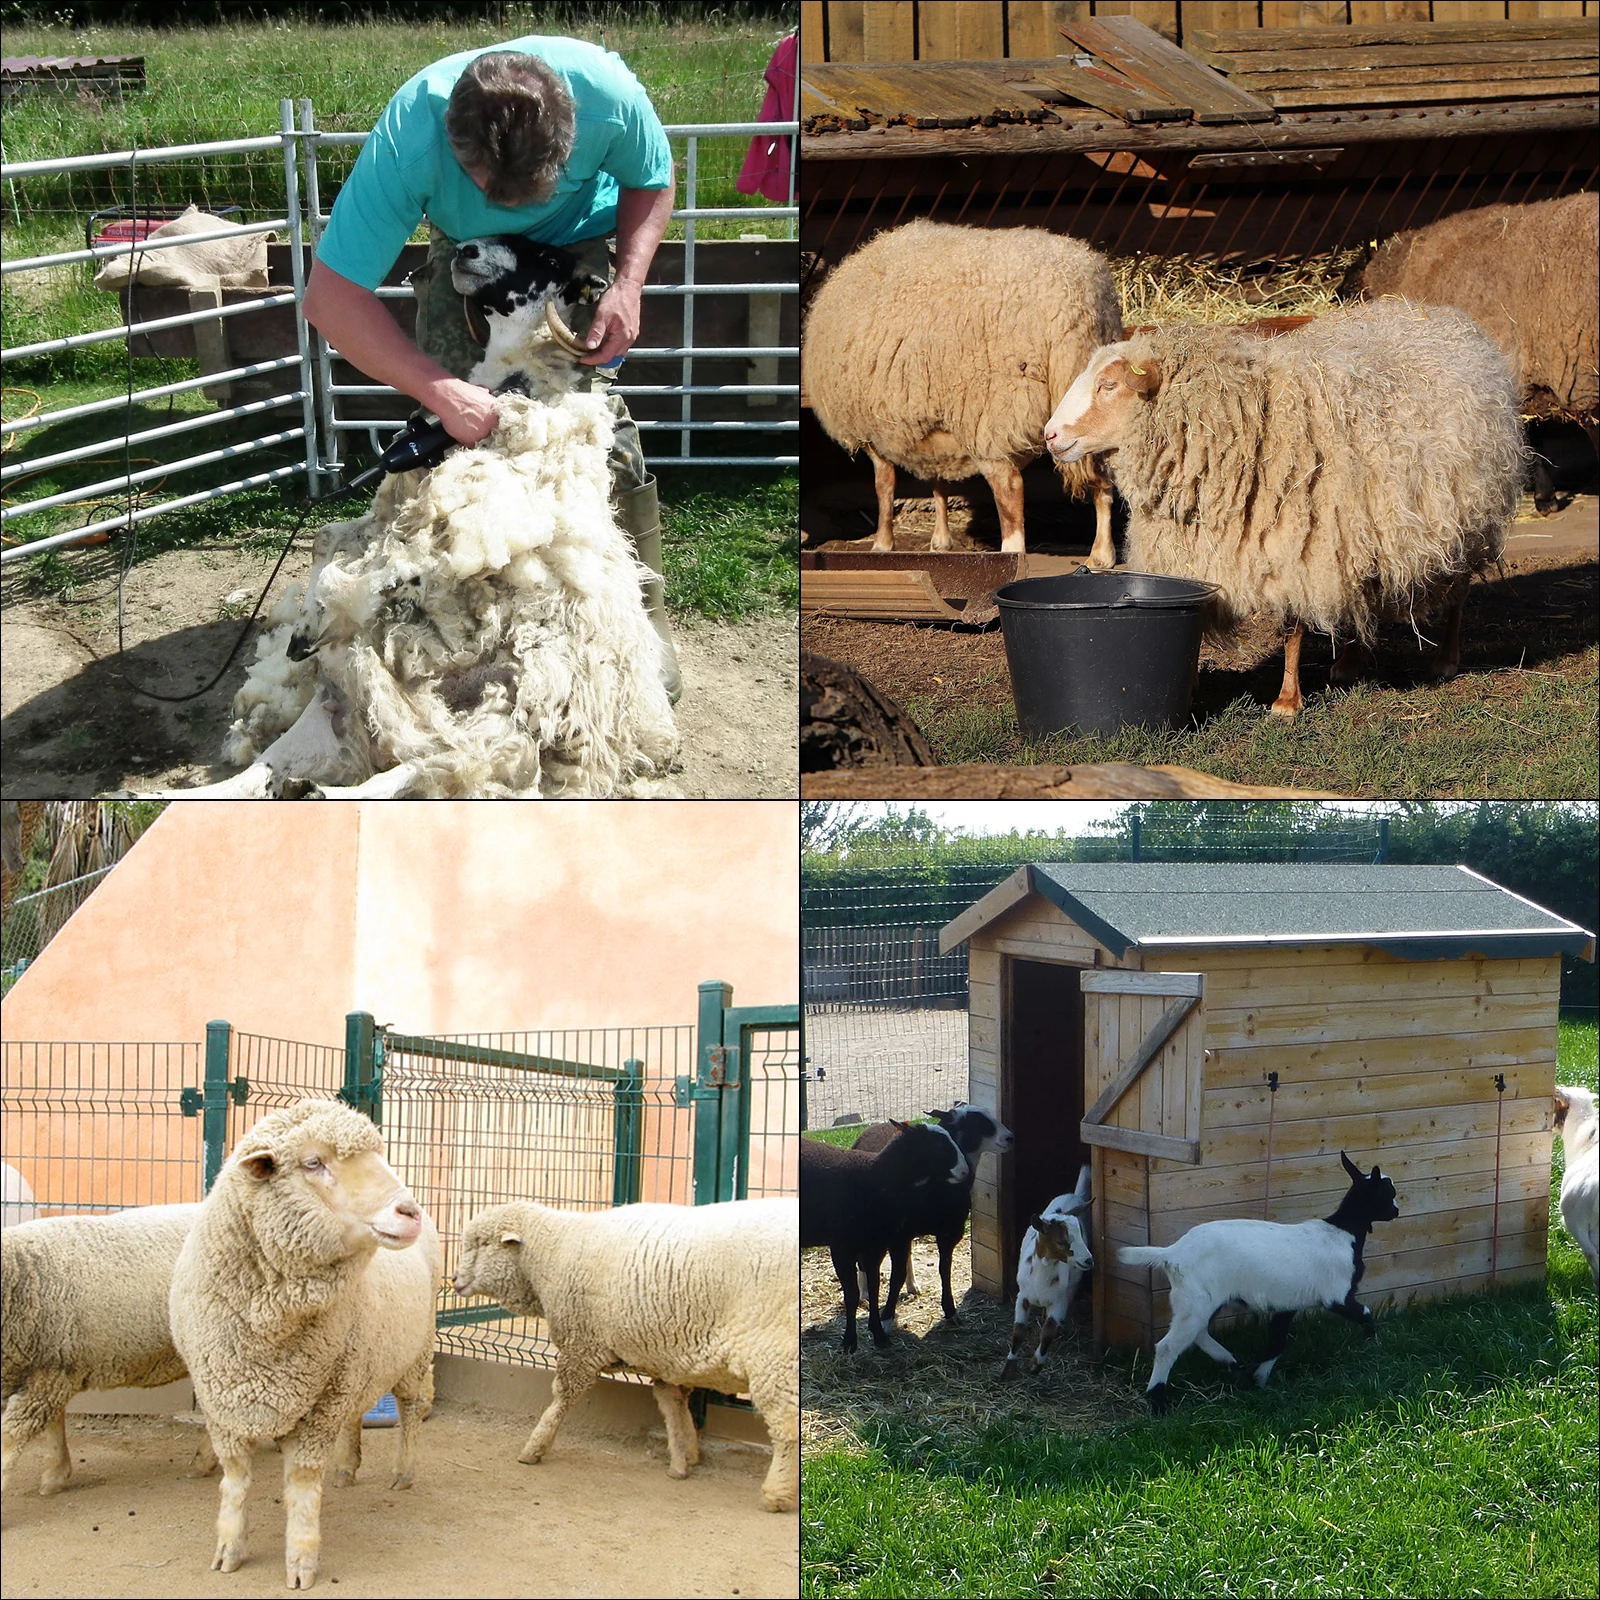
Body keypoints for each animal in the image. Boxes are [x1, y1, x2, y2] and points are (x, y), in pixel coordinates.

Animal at [800, 1122, 968, 1353]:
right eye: (938, 1144)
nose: (965, 1171)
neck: (875, 1179)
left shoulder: (874, 1246)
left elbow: (874, 1288)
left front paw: (879, 1335)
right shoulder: (841, 1248)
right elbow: (852, 1295)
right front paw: (850, 1341)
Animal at [851, 1103, 1014, 1325]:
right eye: (976, 1122)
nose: (1010, 1138)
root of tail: (876, 1124)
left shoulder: (950, 1232)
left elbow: (944, 1271)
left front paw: (951, 1311)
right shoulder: (899, 1234)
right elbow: (896, 1275)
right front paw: (886, 1317)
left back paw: (912, 1286)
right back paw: (865, 1292)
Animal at [1118, 1151, 1399, 1414]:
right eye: (1389, 1193)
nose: (1396, 1211)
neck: (1344, 1232)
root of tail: (1172, 1253)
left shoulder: (1288, 1303)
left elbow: (1276, 1342)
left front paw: (1259, 1381)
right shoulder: (1337, 1295)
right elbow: (1365, 1313)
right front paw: (1373, 1342)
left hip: (1195, 1300)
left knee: (1198, 1333)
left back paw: (1232, 1363)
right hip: (1196, 1299)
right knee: (1168, 1347)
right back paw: (1158, 1402)